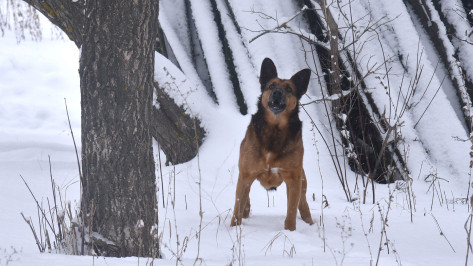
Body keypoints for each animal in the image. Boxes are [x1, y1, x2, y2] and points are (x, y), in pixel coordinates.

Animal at [230, 57, 314, 231]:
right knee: (245, 203)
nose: (277, 93)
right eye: (271, 86)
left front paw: (290, 232)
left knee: (303, 206)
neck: (275, 130)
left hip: (301, 183)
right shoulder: (246, 175)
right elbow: (237, 208)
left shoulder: (293, 179)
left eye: (289, 89)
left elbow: (291, 212)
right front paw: (233, 229)